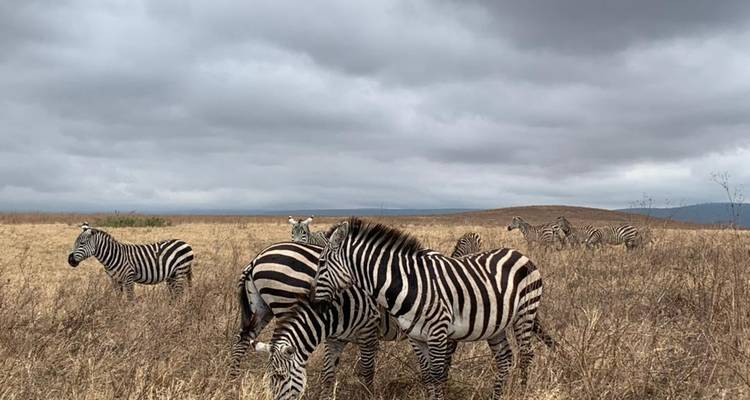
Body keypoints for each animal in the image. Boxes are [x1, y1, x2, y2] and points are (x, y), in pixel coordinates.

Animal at [310, 218, 553, 400]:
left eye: (321, 263)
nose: (312, 302)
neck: (409, 284)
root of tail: (518, 253)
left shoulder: (437, 332)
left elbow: (437, 375)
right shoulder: (416, 337)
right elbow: (427, 375)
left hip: (525, 312)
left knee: (526, 355)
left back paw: (521, 391)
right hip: (496, 324)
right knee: (505, 360)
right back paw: (497, 396)